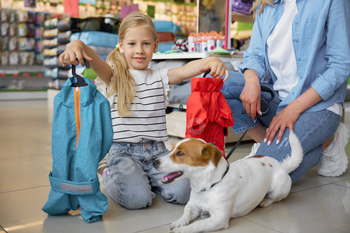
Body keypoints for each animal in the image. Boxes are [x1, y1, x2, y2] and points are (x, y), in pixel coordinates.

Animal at [153, 131, 304, 233]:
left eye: (180, 153)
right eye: (171, 149)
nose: (154, 161)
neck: (207, 187)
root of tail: (282, 165)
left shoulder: (219, 219)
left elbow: (198, 225)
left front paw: (183, 230)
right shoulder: (193, 207)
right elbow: (185, 214)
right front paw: (179, 222)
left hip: (278, 188)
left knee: (275, 198)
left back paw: (265, 201)